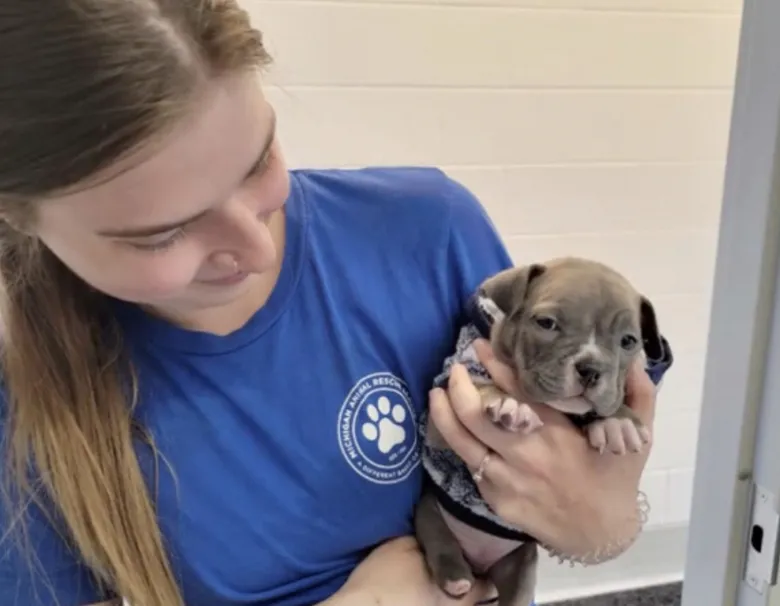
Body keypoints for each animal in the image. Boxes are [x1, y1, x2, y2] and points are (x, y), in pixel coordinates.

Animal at [412, 256, 672, 606]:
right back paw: (456, 578)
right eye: (546, 323)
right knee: (440, 542)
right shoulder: (440, 417)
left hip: (521, 562)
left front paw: (618, 420)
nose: (591, 368)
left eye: (628, 341)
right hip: (429, 514)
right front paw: (508, 403)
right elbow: (481, 385)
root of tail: (479, 564)